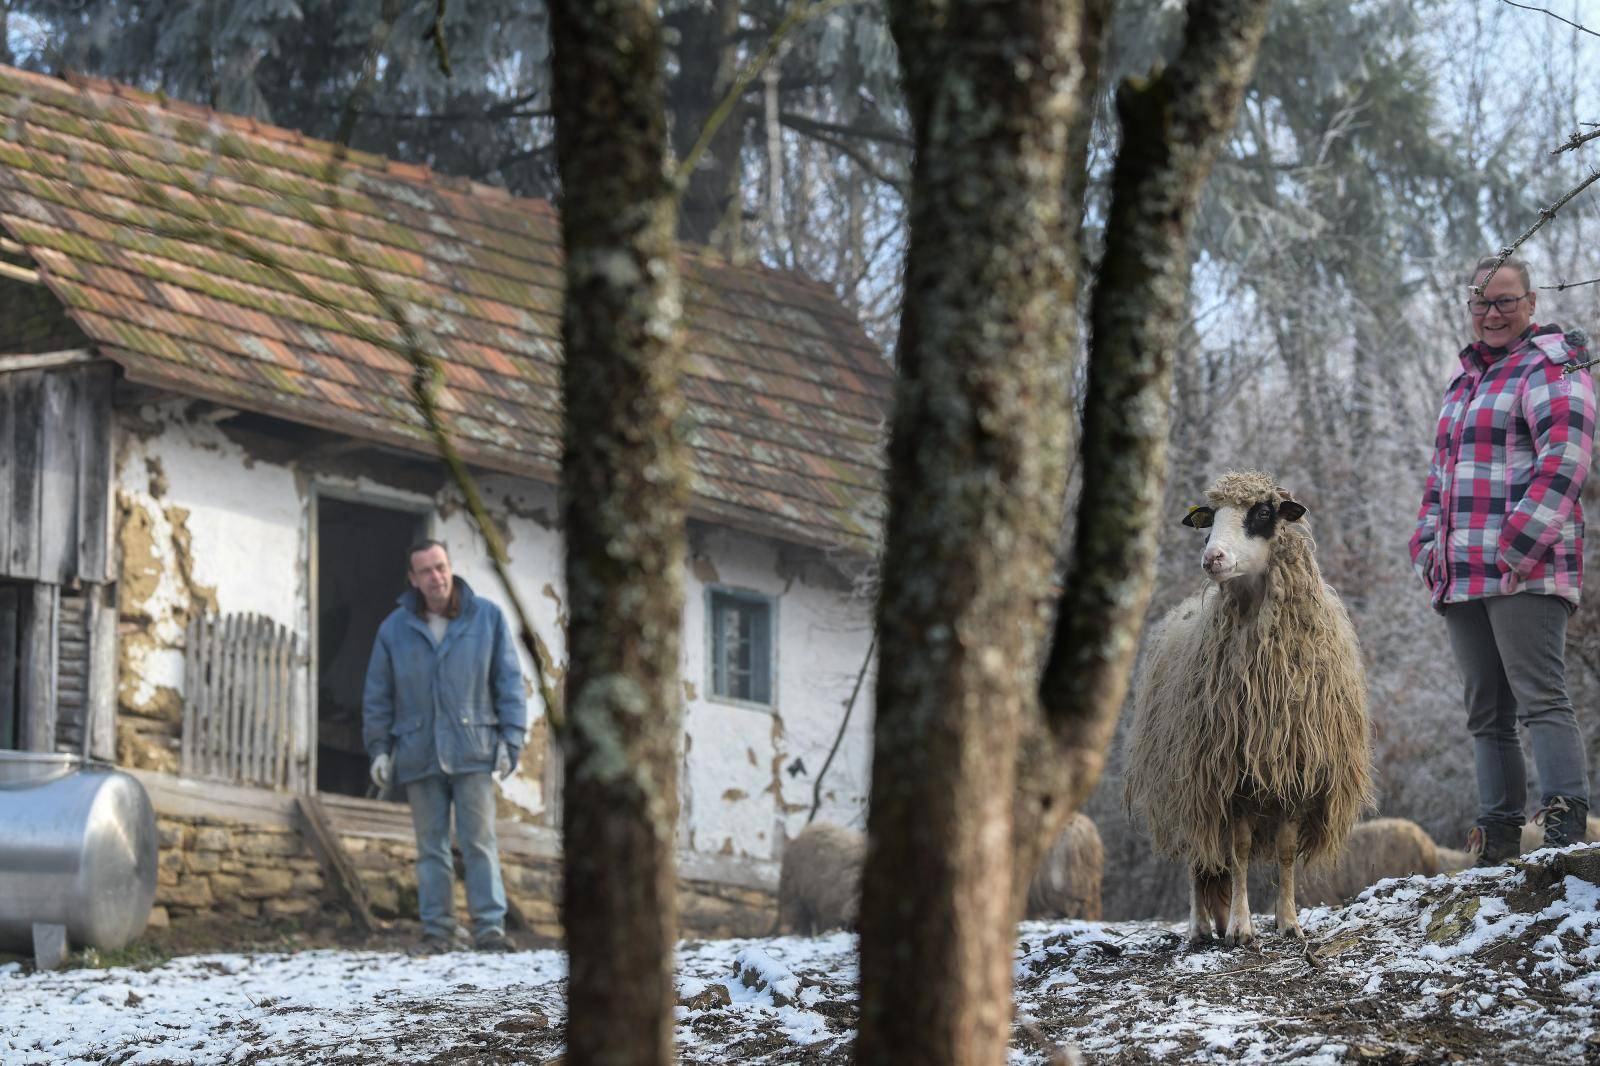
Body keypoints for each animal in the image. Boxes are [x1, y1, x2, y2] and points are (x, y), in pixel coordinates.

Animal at [1126, 470, 1376, 941]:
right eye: (1209, 518)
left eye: (1262, 513)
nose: (1212, 557)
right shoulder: (1228, 776)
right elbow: (1239, 852)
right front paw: (1243, 929)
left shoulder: (1296, 774)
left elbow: (1285, 853)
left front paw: (1289, 922)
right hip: (1190, 783)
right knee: (1200, 856)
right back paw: (1200, 929)